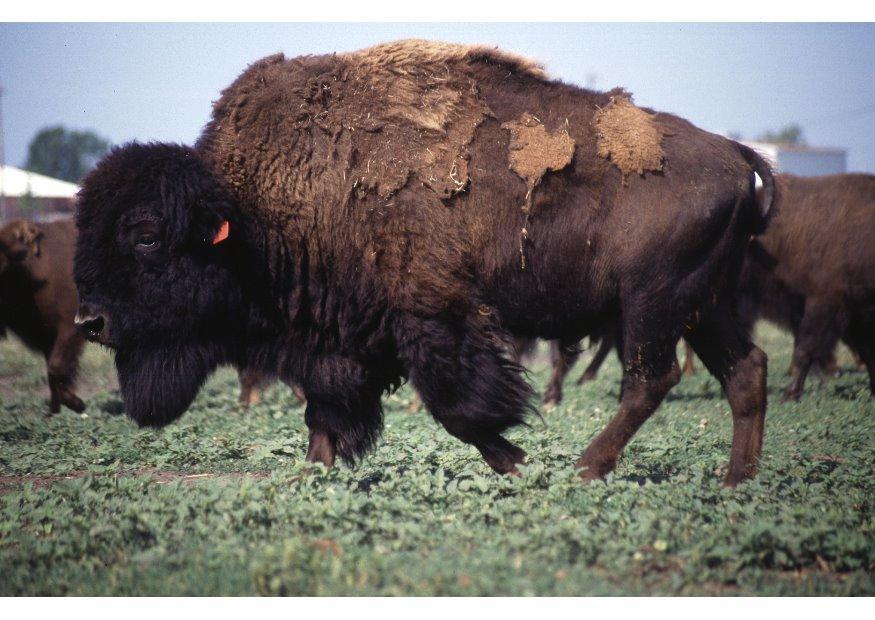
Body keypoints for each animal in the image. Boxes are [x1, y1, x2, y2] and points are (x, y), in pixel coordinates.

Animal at [0, 218, 87, 412]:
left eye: (4, 262)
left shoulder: (70, 328)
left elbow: (56, 367)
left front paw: (76, 403)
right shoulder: (47, 335)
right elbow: (52, 369)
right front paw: (55, 410)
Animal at [73, 41, 772, 486]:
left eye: (145, 236)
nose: (89, 321)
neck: (247, 211)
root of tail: (738, 155)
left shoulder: (432, 319)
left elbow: (460, 408)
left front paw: (520, 464)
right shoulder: (336, 343)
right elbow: (325, 416)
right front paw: (315, 478)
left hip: (653, 304)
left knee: (650, 381)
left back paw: (586, 468)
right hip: (701, 307)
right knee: (745, 370)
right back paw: (734, 481)